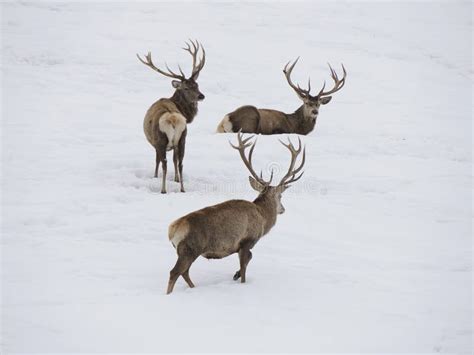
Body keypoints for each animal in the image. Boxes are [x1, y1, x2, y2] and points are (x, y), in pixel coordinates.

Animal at [136, 40, 205, 193]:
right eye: (186, 87)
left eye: (196, 84)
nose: (201, 96)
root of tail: (173, 119)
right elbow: (175, 160)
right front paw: (176, 179)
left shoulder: (156, 143)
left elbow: (157, 161)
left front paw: (155, 177)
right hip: (183, 138)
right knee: (180, 162)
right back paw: (182, 189)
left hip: (161, 139)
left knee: (164, 163)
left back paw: (163, 189)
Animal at [165, 132, 306, 294]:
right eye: (280, 196)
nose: (283, 209)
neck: (263, 218)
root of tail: (172, 230)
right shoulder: (247, 241)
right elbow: (245, 265)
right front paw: (240, 279)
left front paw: (235, 274)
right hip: (189, 249)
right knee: (175, 272)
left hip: (185, 251)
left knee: (185, 272)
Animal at [217, 58, 346, 136]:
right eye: (306, 103)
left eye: (318, 104)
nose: (315, 112)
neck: (297, 127)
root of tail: (226, 120)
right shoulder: (280, 129)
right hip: (251, 117)